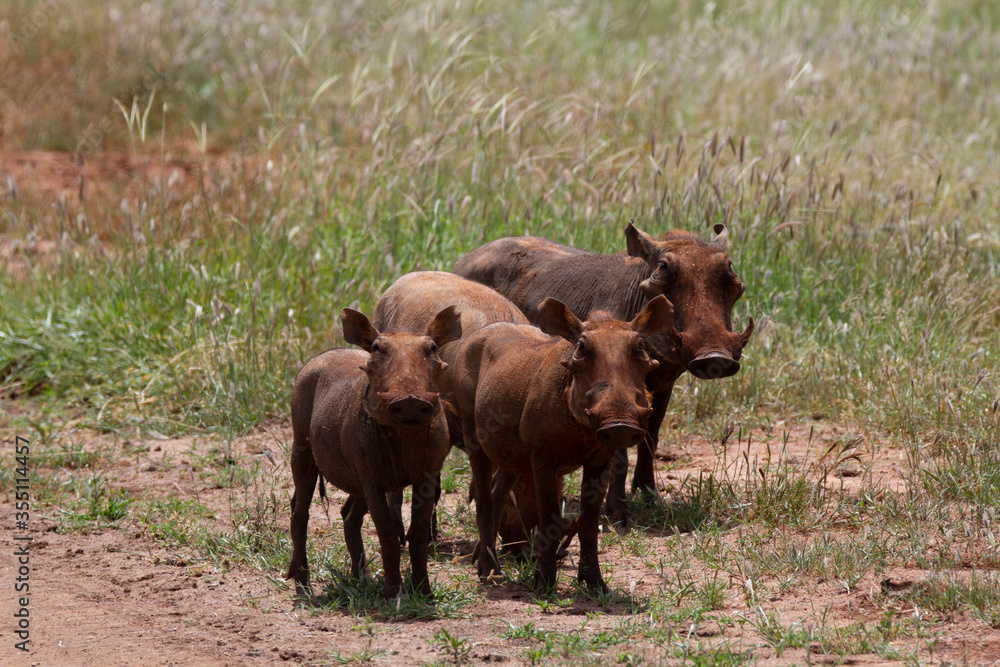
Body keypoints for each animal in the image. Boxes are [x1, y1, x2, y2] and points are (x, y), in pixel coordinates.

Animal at [286, 305, 462, 599]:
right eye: (377, 348)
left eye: (433, 348)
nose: (410, 400)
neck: (404, 437)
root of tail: (317, 359)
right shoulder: (373, 481)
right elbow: (387, 534)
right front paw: (392, 594)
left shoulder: (425, 478)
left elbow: (418, 534)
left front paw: (423, 592)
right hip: (302, 452)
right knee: (300, 513)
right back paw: (303, 586)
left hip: (356, 482)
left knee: (348, 517)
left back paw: (362, 579)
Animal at [453, 222, 753, 525]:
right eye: (664, 267)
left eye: (728, 267)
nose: (715, 357)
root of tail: (463, 259)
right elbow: (619, 453)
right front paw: (619, 514)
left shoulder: (663, 385)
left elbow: (650, 437)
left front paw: (650, 499)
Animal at [453, 296, 673, 591]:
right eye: (581, 347)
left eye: (639, 346)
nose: (620, 425)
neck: (580, 429)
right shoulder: (543, 459)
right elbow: (549, 519)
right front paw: (544, 585)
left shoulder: (599, 461)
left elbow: (589, 523)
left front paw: (596, 586)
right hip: (473, 436)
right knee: (484, 501)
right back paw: (490, 572)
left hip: (511, 455)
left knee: (497, 493)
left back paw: (483, 562)